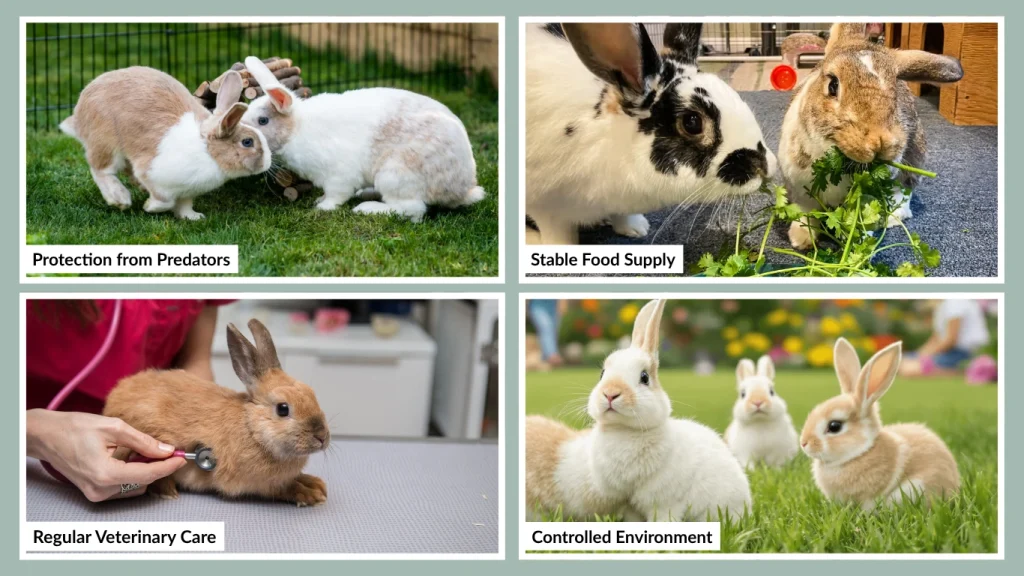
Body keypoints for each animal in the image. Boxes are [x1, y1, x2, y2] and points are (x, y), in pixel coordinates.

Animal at [59, 67, 271, 220]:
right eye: (247, 142)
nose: (267, 163)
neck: (207, 151)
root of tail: (79, 111)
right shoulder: (152, 173)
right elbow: (164, 201)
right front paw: (149, 207)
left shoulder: (187, 192)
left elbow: (184, 205)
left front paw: (193, 217)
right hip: (106, 142)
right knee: (101, 170)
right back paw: (120, 199)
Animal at [103, 319, 330, 506]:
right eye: (283, 409)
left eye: (312, 394)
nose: (322, 437)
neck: (253, 429)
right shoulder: (263, 483)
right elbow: (285, 488)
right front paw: (310, 495)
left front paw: (315, 484)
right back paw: (167, 491)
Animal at [240, 56, 485, 223]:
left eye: (263, 120)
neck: (297, 128)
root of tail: (462, 189)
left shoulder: (338, 176)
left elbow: (336, 195)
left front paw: (322, 207)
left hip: (395, 175)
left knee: (412, 211)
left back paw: (367, 208)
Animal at [525, 299, 751, 521]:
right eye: (602, 374)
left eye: (644, 377)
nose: (610, 393)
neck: (624, 431)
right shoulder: (628, 504)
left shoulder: (665, 503)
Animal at [778, 23, 964, 249]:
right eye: (833, 85)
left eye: (895, 93)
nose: (879, 143)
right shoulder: (800, 191)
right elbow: (806, 213)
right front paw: (801, 240)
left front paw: (859, 240)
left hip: (915, 156)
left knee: (904, 189)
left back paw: (894, 217)